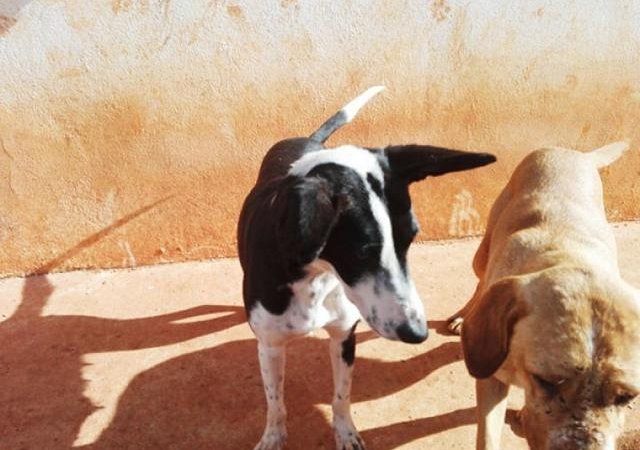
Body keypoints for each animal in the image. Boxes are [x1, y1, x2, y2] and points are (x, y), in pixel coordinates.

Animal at [237, 86, 496, 450]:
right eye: (361, 252)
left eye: (411, 238)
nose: (418, 333)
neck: (316, 275)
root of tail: (308, 139)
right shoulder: (270, 346)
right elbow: (275, 403)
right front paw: (273, 437)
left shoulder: (345, 337)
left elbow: (341, 398)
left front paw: (345, 433)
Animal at [448, 142, 640, 450]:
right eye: (547, 381)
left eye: (628, 397)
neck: (566, 255)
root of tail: (574, 153)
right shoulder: (491, 379)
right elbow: (487, 436)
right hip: (482, 253)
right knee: (480, 283)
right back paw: (461, 317)